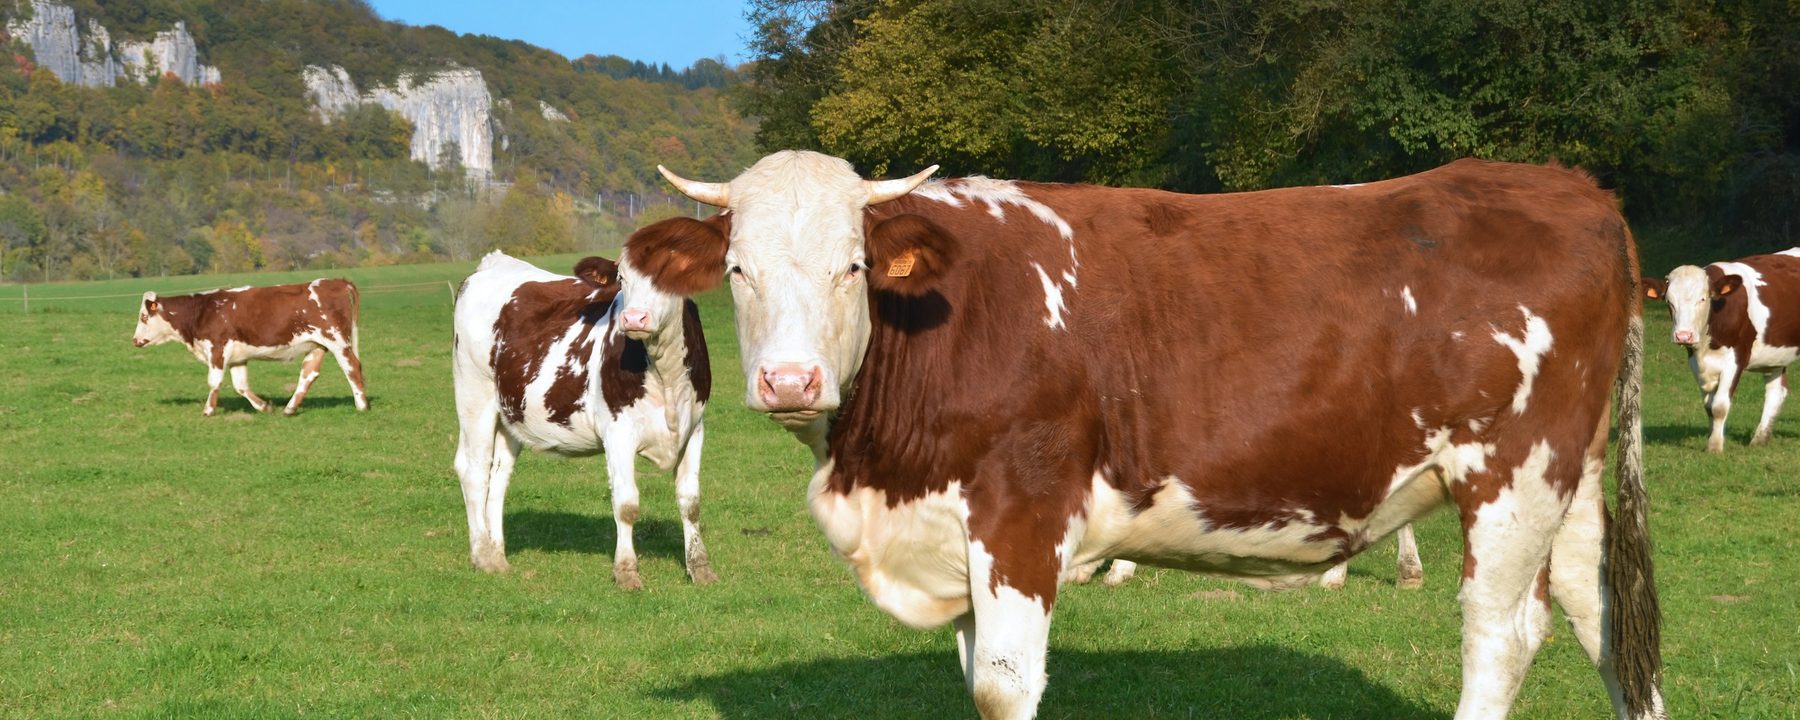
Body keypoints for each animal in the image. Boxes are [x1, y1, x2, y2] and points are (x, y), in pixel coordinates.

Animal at [132, 279, 369, 417]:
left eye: (143, 317)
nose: (135, 340)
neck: (202, 311)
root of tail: (335, 281)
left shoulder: (217, 348)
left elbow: (214, 381)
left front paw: (208, 410)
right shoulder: (237, 358)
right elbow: (240, 386)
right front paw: (264, 407)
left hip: (337, 341)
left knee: (352, 368)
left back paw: (362, 405)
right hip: (317, 345)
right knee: (308, 374)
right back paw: (290, 408)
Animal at [450, 250, 715, 589]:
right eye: (622, 277)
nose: (634, 318)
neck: (664, 372)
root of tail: (495, 263)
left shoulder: (694, 427)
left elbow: (690, 501)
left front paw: (701, 568)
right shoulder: (618, 432)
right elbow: (626, 504)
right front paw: (626, 572)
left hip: (510, 412)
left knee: (498, 476)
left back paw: (496, 556)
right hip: (474, 394)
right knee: (474, 471)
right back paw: (482, 555)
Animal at [635, 151, 1666, 720]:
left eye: (853, 266)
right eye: (737, 268)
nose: (789, 380)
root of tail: (1575, 189)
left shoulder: (1021, 510)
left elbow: (1002, 685)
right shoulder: (952, 531)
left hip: (1514, 473)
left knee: (1504, 634)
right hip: (1567, 481)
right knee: (1605, 617)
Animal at [1642, 249, 1800, 452]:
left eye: (1702, 299)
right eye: (1669, 302)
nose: (1683, 335)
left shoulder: (1736, 357)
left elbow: (1719, 406)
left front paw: (1715, 446)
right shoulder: (1695, 361)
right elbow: (1708, 406)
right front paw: (1711, 437)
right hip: (1775, 356)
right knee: (1776, 392)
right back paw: (1759, 439)